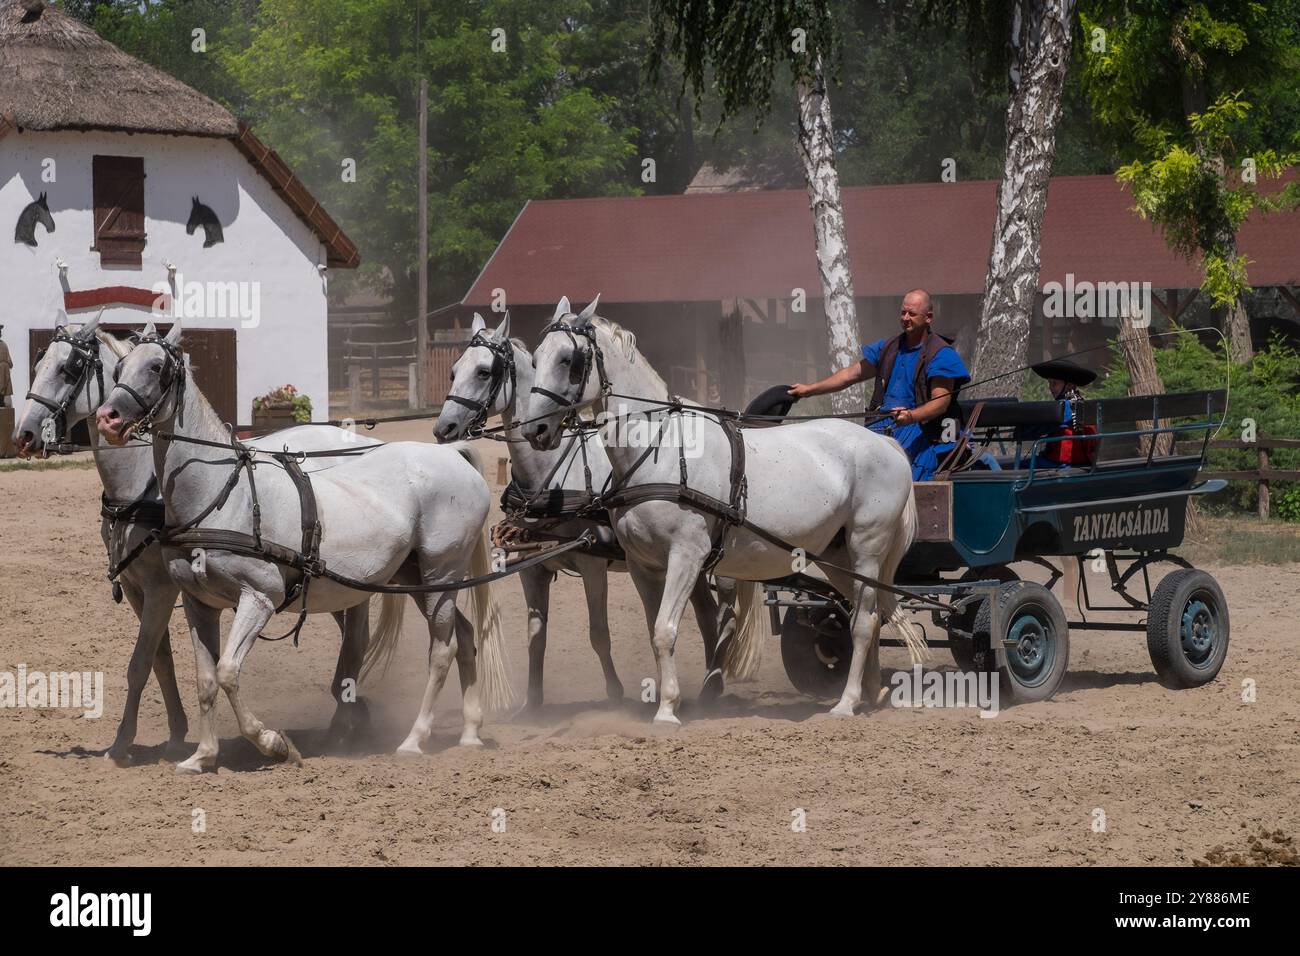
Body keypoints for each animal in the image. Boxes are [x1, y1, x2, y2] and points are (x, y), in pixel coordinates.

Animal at [12, 317, 384, 764]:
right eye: (37, 364)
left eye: (70, 368)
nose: (24, 435)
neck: (146, 485)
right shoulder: (140, 589)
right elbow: (161, 660)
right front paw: (175, 733)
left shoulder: (160, 586)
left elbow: (140, 663)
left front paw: (122, 743)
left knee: (357, 636)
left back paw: (346, 720)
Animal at [94, 319, 506, 770]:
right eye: (118, 370)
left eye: (156, 367)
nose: (108, 418)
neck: (223, 494)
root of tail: (452, 455)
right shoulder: (199, 604)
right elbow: (205, 680)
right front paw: (202, 757)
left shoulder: (259, 597)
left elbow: (227, 672)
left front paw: (273, 743)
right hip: (417, 578)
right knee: (463, 636)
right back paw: (469, 732)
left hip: (441, 571)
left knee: (442, 650)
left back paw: (415, 738)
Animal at [434, 303, 743, 707]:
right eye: (454, 370)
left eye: (484, 371)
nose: (443, 428)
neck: (552, 474)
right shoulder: (532, 568)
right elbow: (536, 637)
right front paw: (532, 704)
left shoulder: (591, 562)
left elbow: (599, 633)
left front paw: (615, 693)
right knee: (707, 613)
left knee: (728, 617)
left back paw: (715, 682)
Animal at [517, 303, 925, 723]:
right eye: (535, 358)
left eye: (569, 360)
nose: (536, 431)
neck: (660, 449)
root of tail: (885, 442)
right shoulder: (641, 564)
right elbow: (655, 632)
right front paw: (666, 699)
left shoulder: (687, 555)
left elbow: (665, 629)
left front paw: (667, 710)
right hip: (836, 555)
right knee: (870, 616)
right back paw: (869, 692)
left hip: (867, 548)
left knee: (861, 623)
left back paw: (846, 703)